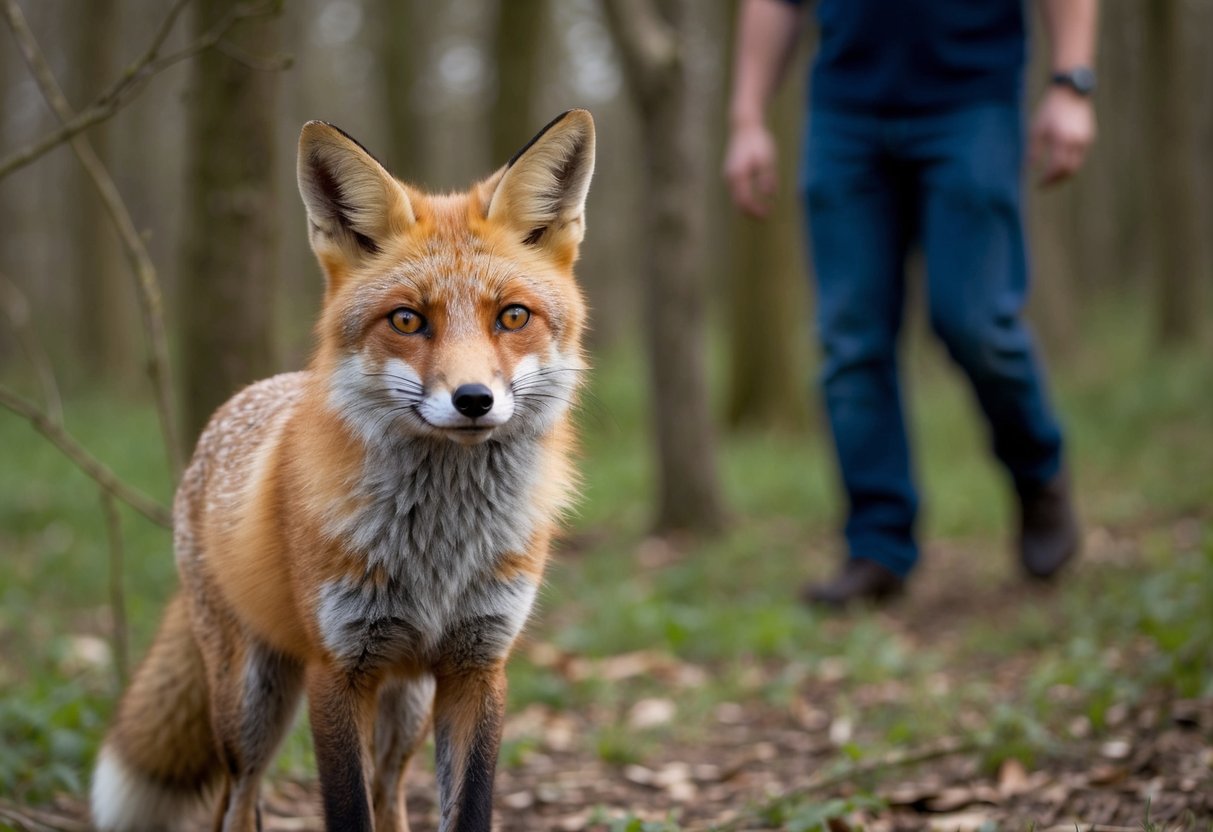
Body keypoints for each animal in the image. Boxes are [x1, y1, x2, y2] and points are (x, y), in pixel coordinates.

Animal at [89, 109, 595, 832]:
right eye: (407, 319)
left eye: (513, 316)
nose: (473, 399)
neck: (440, 547)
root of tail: (242, 399)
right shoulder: (338, 668)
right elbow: (348, 811)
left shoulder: (477, 665)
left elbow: (461, 809)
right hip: (253, 706)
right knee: (238, 802)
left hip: (406, 705)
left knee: (390, 794)